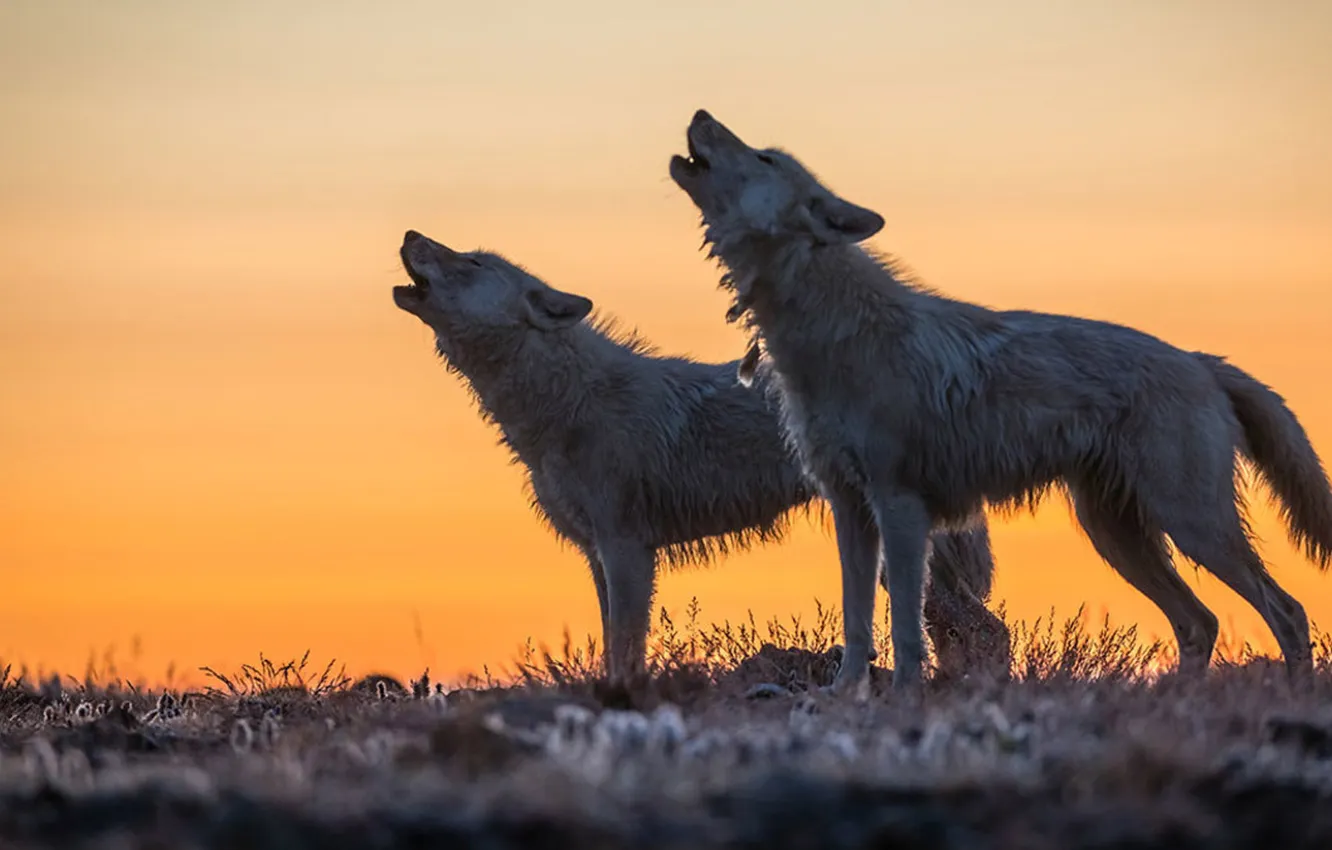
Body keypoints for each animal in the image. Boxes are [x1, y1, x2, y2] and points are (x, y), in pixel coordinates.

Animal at [392, 229, 1010, 686]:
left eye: (470, 261)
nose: (410, 234)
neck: (567, 406)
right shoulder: (597, 555)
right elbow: (612, 640)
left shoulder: (628, 549)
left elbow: (626, 648)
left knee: (987, 633)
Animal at [669, 108, 1332, 697]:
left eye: (764, 158)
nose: (700, 112)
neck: (831, 332)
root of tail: (1201, 360)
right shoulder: (851, 510)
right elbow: (858, 626)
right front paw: (841, 699)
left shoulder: (900, 507)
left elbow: (905, 629)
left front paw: (903, 699)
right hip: (1118, 535)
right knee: (1201, 621)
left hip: (1191, 525)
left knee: (1287, 610)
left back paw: (1290, 696)